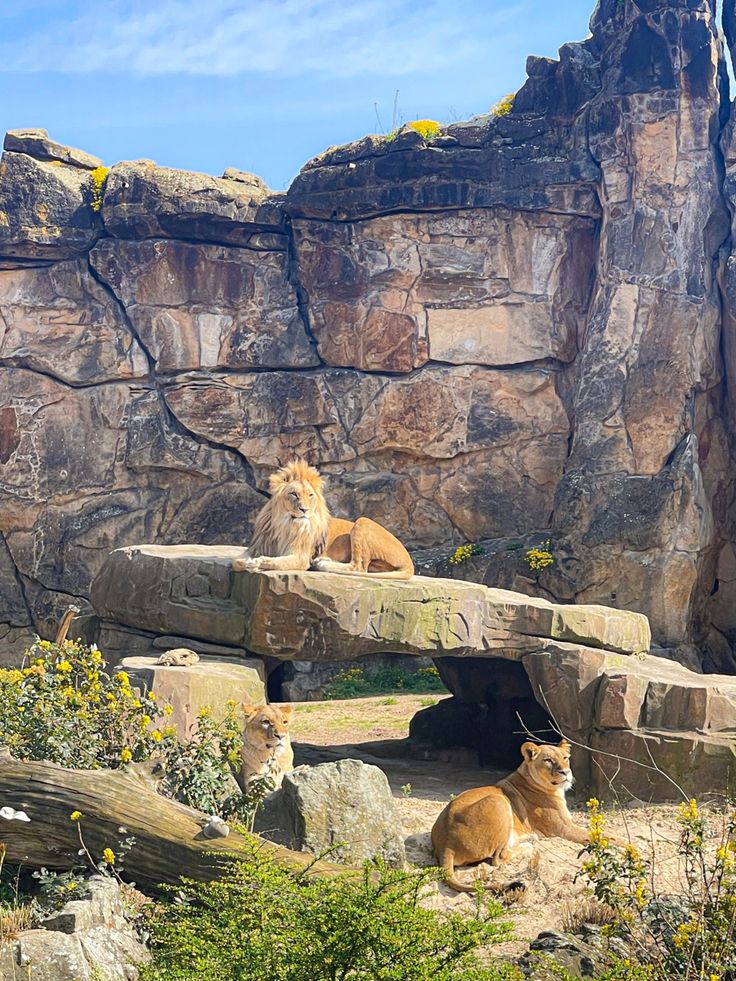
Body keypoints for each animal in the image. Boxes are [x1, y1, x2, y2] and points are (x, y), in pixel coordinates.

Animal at [233, 462, 414, 580]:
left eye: (310, 495)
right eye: (294, 494)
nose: (304, 510)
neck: (284, 525)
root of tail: (409, 560)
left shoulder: (301, 557)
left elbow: (277, 562)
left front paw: (258, 562)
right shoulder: (257, 546)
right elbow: (236, 562)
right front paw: (247, 562)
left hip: (363, 522)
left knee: (359, 567)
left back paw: (322, 564)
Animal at [432, 740, 588, 892]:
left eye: (565, 758)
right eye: (548, 760)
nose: (566, 772)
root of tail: (446, 845)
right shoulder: (563, 828)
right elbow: (591, 834)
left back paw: (529, 838)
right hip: (499, 800)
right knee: (498, 858)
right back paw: (528, 846)